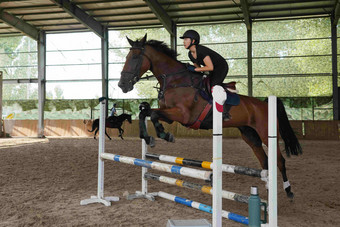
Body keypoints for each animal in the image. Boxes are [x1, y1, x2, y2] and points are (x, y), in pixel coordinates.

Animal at [117, 33, 302, 199]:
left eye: (135, 57)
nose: (122, 85)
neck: (175, 81)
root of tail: (264, 104)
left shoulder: (183, 115)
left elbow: (154, 114)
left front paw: (165, 135)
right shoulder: (169, 115)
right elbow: (145, 113)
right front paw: (148, 138)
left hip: (266, 133)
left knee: (279, 161)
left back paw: (288, 191)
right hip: (250, 135)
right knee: (265, 162)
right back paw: (269, 191)